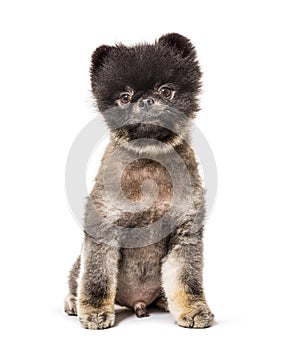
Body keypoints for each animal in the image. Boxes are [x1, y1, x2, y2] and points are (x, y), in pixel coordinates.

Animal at [64, 32, 214, 328]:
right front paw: (95, 310)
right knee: (77, 278)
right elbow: (96, 276)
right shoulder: (103, 227)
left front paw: (192, 309)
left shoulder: (185, 233)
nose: (144, 101)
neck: (150, 165)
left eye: (166, 91)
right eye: (125, 97)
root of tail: (136, 303)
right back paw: (74, 302)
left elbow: (187, 279)